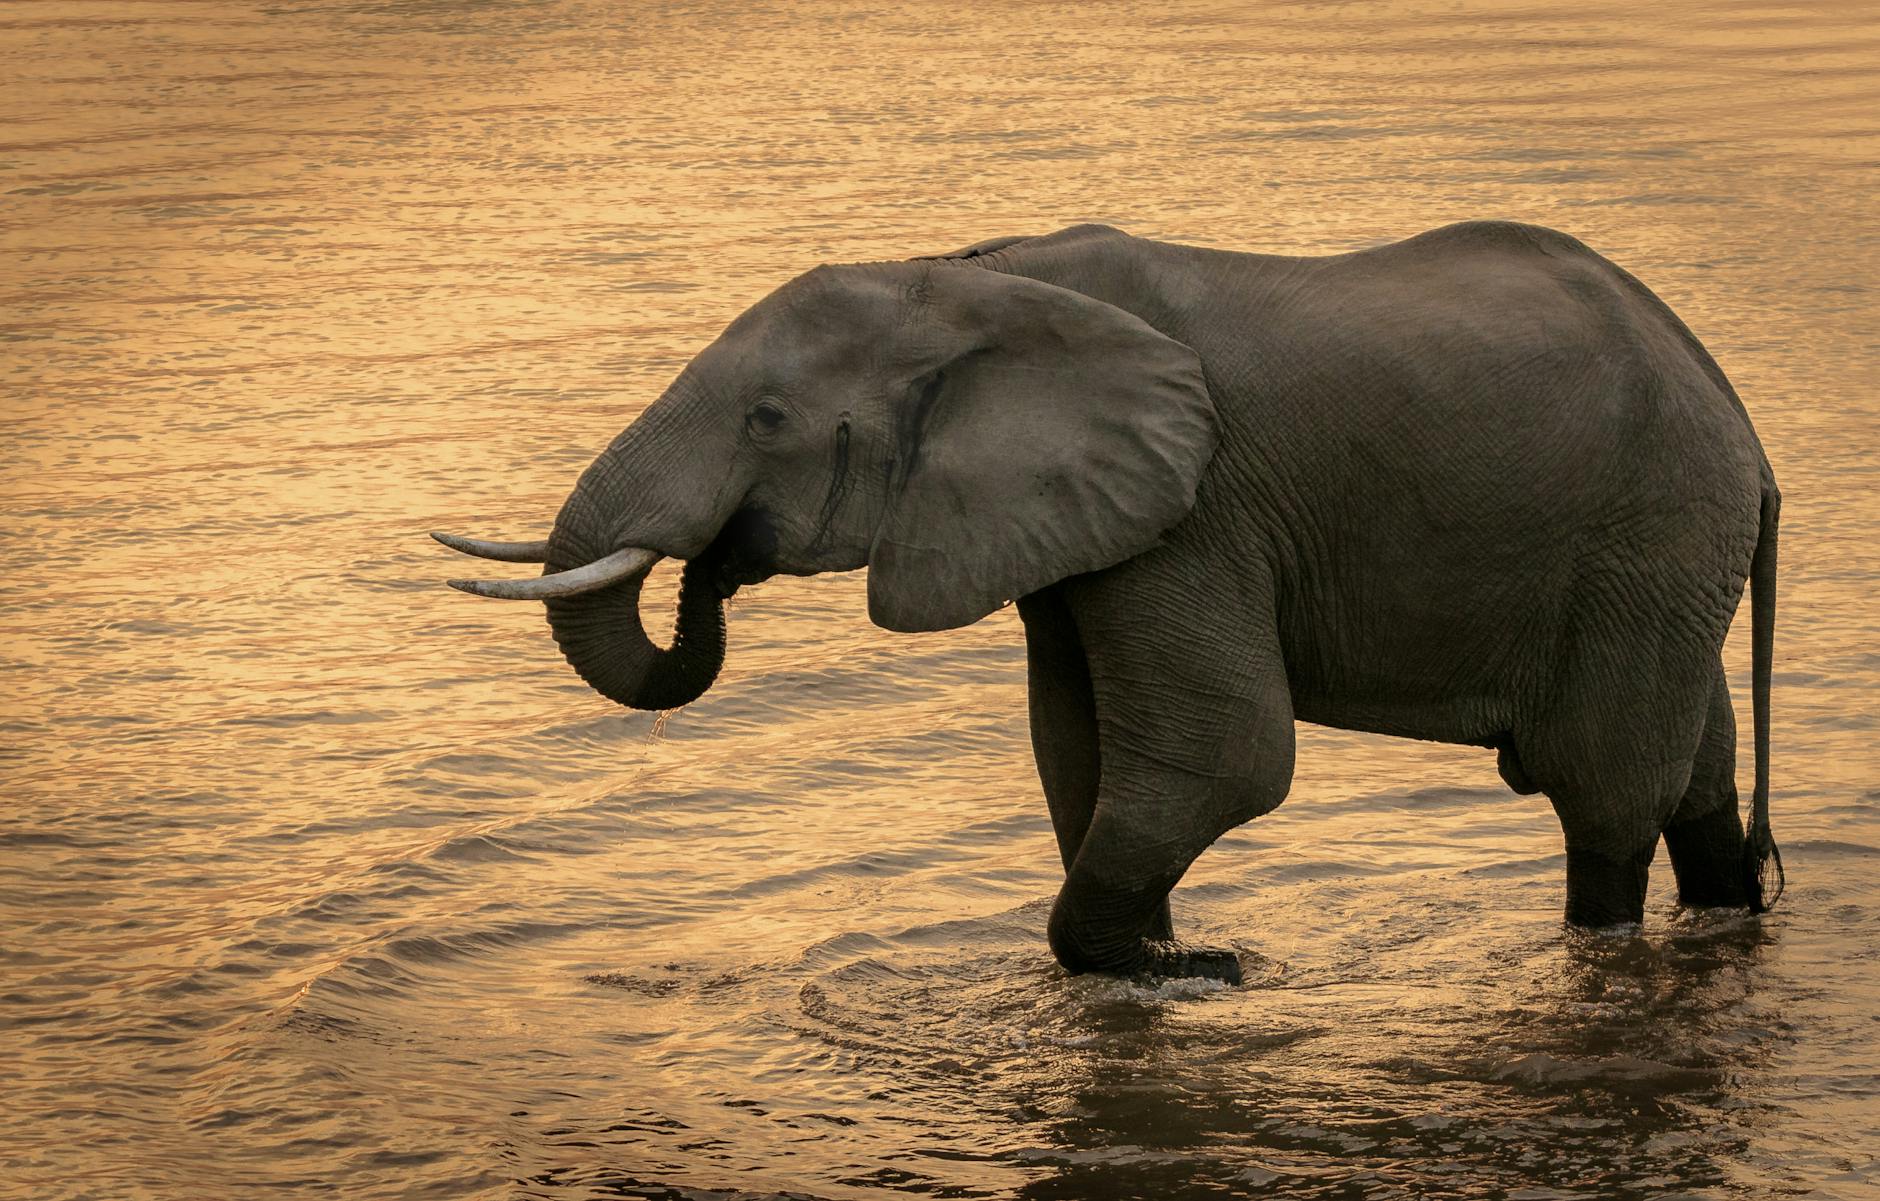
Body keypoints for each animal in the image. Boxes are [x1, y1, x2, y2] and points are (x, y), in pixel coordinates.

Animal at [435, 221, 1783, 984]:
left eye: (766, 420)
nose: (715, 561)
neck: (968, 278)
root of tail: (1742, 423)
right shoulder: (1073, 523)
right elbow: (1072, 751)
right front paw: (1166, 956)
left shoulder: (1197, 506)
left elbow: (1222, 753)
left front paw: (1196, 968)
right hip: (1668, 564)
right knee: (1693, 778)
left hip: (1649, 535)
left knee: (1597, 789)